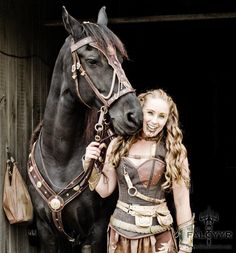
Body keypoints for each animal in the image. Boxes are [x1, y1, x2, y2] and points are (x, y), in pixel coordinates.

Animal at [27, 5, 143, 253]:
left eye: (120, 59)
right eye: (92, 61)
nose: (134, 116)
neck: (59, 158)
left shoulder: (95, 231)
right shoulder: (46, 231)